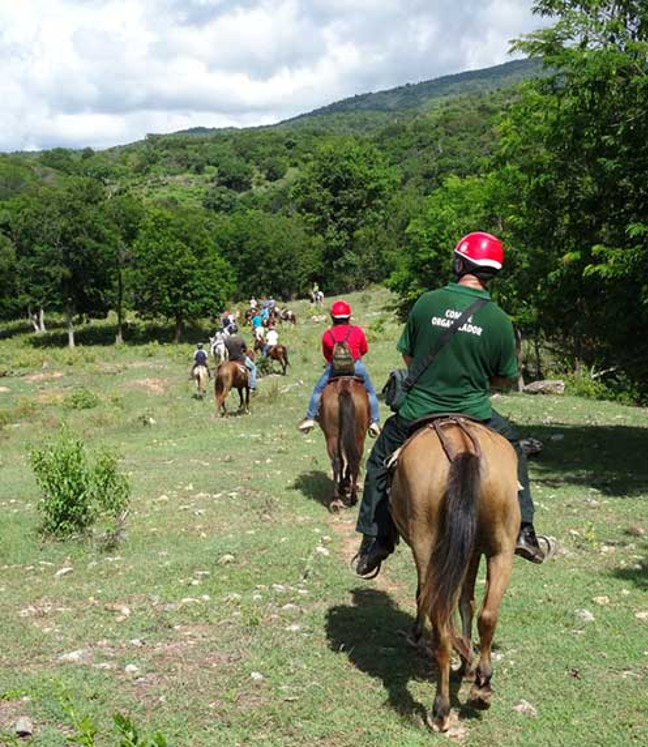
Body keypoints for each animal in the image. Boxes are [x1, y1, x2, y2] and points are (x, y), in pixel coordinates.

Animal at [318, 376, 370, 512]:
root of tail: (344, 387)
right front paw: (345, 483)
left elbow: (342, 461)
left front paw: (343, 484)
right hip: (358, 436)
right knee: (354, 460)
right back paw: (352, 498)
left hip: (332, 436)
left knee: (337, 462)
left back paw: (336, 500)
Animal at [388, 418, 520, 732]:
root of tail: (463, 444)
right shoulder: (470, 551)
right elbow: (467, 601)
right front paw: (468, 664)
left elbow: (428, 598)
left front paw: (417, 634)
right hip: (501, 550)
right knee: (488, 614)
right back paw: (482, 686)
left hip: (426, 544)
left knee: (438, 616)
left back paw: (441, 708)